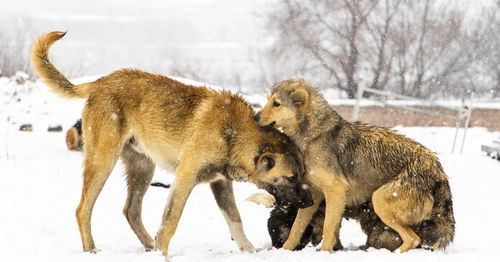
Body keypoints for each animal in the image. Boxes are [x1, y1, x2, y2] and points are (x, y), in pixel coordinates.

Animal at [30, 32, 312, 256]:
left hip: (143, 169)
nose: (310, 202)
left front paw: (249, 251)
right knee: (83, 209)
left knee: (131, 210)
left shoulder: (221, 183)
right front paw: (163, 254)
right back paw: (93, 250)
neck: (233, 133)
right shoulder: (184, 179)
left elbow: (235, 220)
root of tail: (99, 83)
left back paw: (149, 246)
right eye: (291, 177)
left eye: (302, 174)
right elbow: (171, 220)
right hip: (103, 162)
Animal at [256, 79, 456, 252]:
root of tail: (438, 171)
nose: (255, 116)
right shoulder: (313, 195)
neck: (312, 136)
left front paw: (325, 253)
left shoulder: (335, 191)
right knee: (413, 239)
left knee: (413, 239)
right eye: (268, 100)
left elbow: (328, 229)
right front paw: (285, 251)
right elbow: (295, 230)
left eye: (276, 104)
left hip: (379, 200)